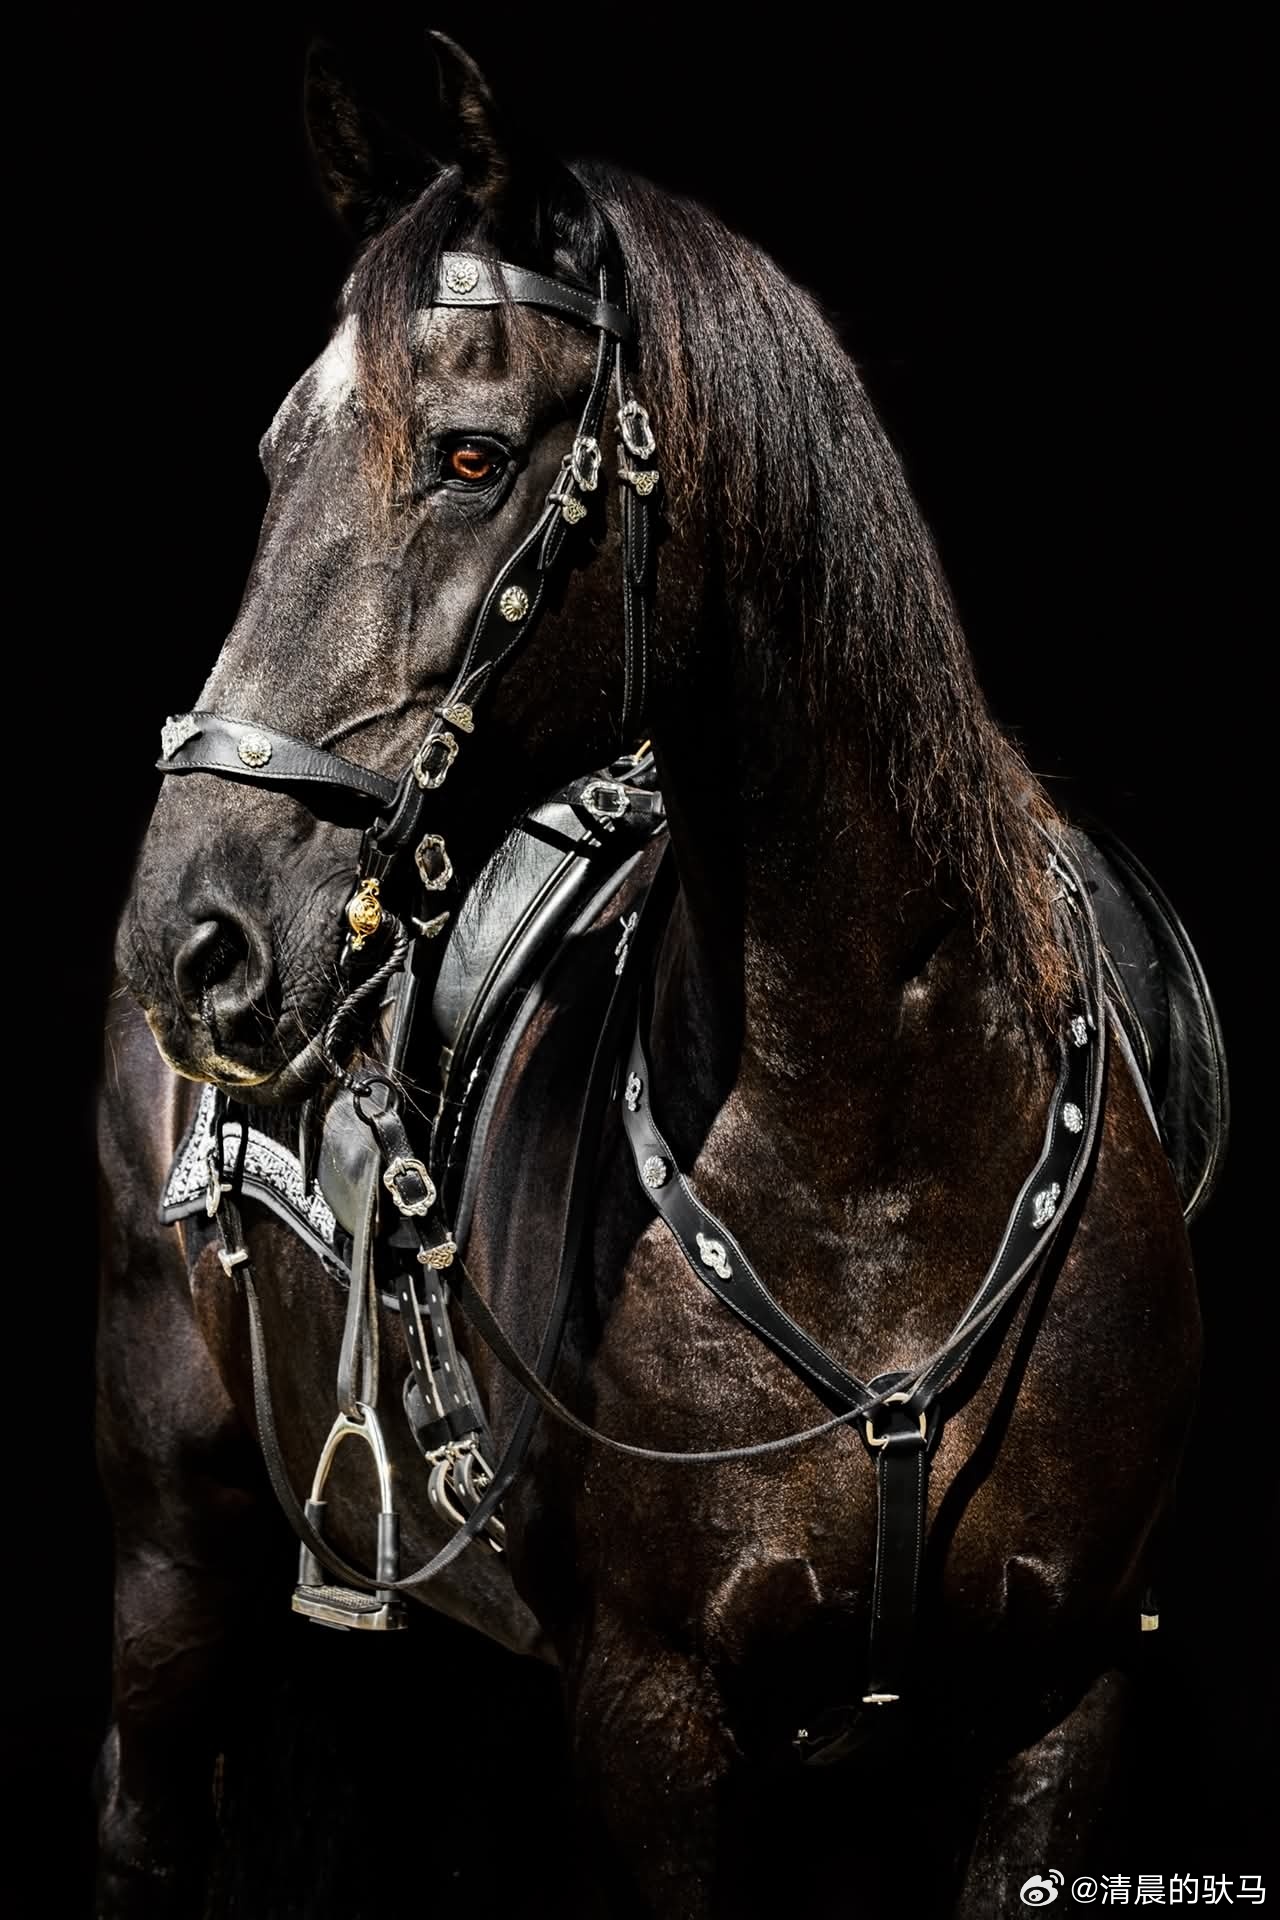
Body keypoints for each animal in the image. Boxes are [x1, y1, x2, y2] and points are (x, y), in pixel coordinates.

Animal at [99, 33, 1227, 1917]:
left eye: (470, 457)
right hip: (173, 1551)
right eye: (275, 452)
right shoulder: (653, 1717)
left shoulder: (1065, 1711)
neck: (881, 1140)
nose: (196, 936)